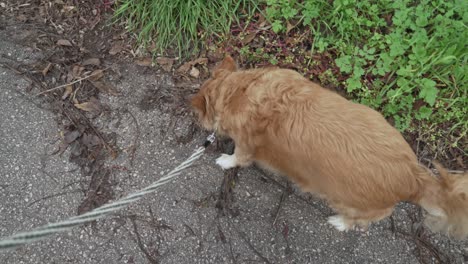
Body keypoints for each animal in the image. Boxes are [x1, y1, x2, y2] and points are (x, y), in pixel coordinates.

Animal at [190, 55, 468, 239]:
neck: (241, 91)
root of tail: (414, 174)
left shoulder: (246, 145)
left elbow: (238, 157)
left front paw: (225, 161)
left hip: (349, 202)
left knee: (359, 221)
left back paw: (340, 222)